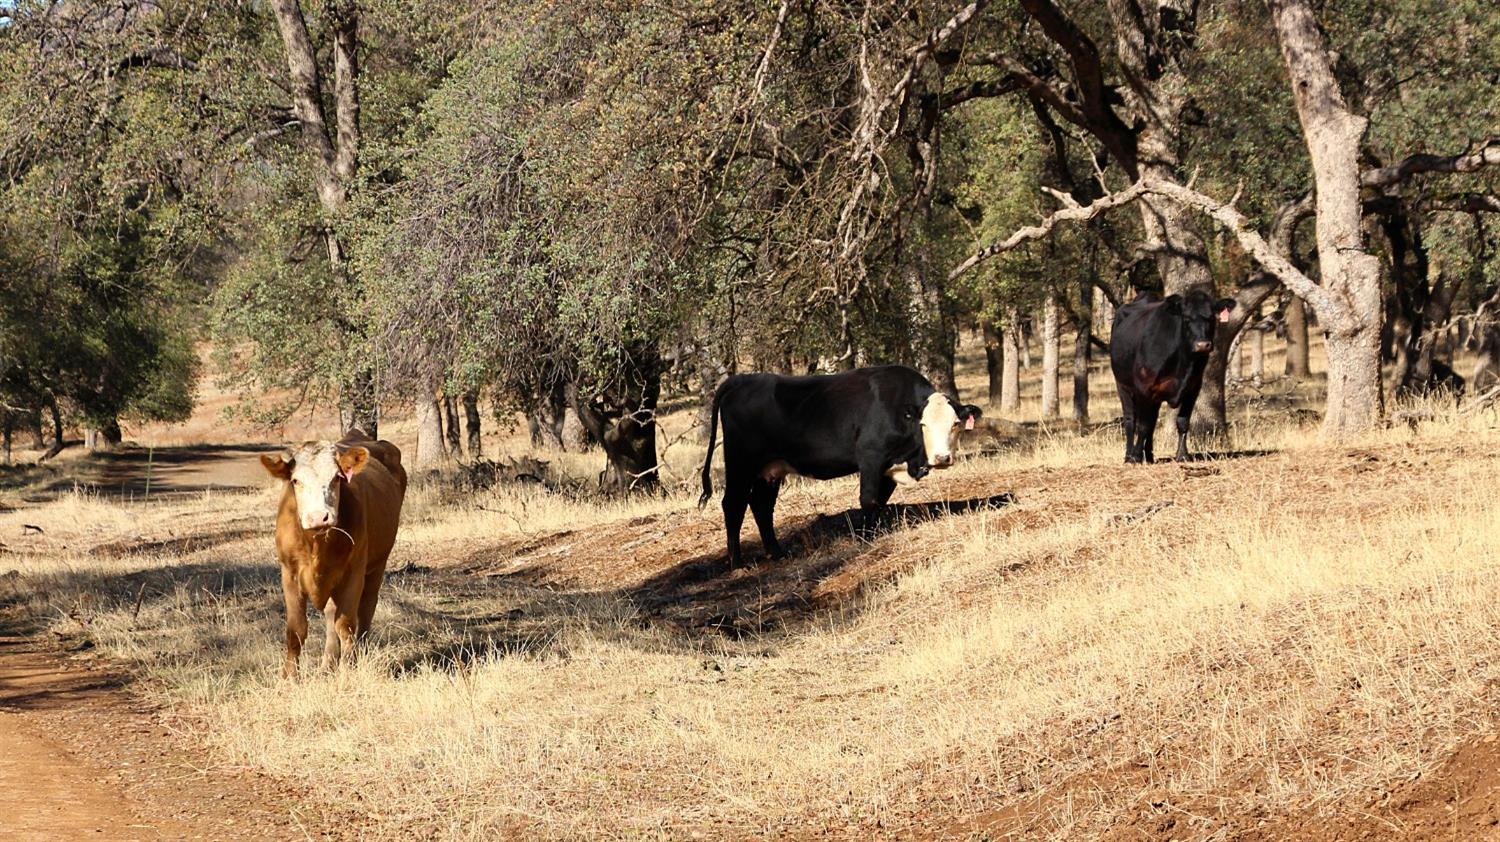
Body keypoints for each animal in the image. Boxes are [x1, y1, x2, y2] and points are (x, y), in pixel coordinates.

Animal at [259, 429, 408, 672]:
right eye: (295, 480)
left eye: (337, 477)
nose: (319, 517)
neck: (316, 545)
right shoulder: (289, 573)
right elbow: (296, 630)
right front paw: (290, 676)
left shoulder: (353, 572)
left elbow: (345, 626)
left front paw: (348, 670)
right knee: (330, 614)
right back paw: (328, 662)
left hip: (377, 564)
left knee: (366, 608)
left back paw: (360, 653)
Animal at [693, 363, 978, 564]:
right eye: (924, 424)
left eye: (955, 423)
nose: (942, 458)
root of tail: (740, 379)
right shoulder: (871, 456)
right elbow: (869, 500)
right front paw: (864, 540)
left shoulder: (887, 466)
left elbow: (880, 501)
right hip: (741, 463)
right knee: (733, 504)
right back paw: (736, 562)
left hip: (770, 469)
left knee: (761, 505)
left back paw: (777, 553)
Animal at [1110, 286, 1236, 459]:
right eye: (1186, 318)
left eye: (1211, 318)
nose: (1202, 345)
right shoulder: (1144, 388)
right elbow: (1142, 425)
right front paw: (1136, 456)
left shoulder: (1193, 388)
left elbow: (1182, 422)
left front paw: (1182, 454)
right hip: (1122, 385)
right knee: (1130, 419)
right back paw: (1130, 455)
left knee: (1152, 420)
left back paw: (1149, 455)